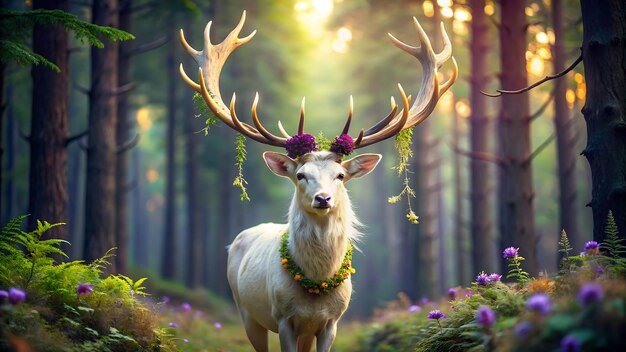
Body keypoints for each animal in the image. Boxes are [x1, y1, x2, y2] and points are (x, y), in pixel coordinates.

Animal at [178, 11, 456, 352]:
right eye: (300, 175)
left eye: (341, 175)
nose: (323, 199)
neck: (316, 284)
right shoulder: (284, 319)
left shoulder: (330, 323)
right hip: (247, 312)